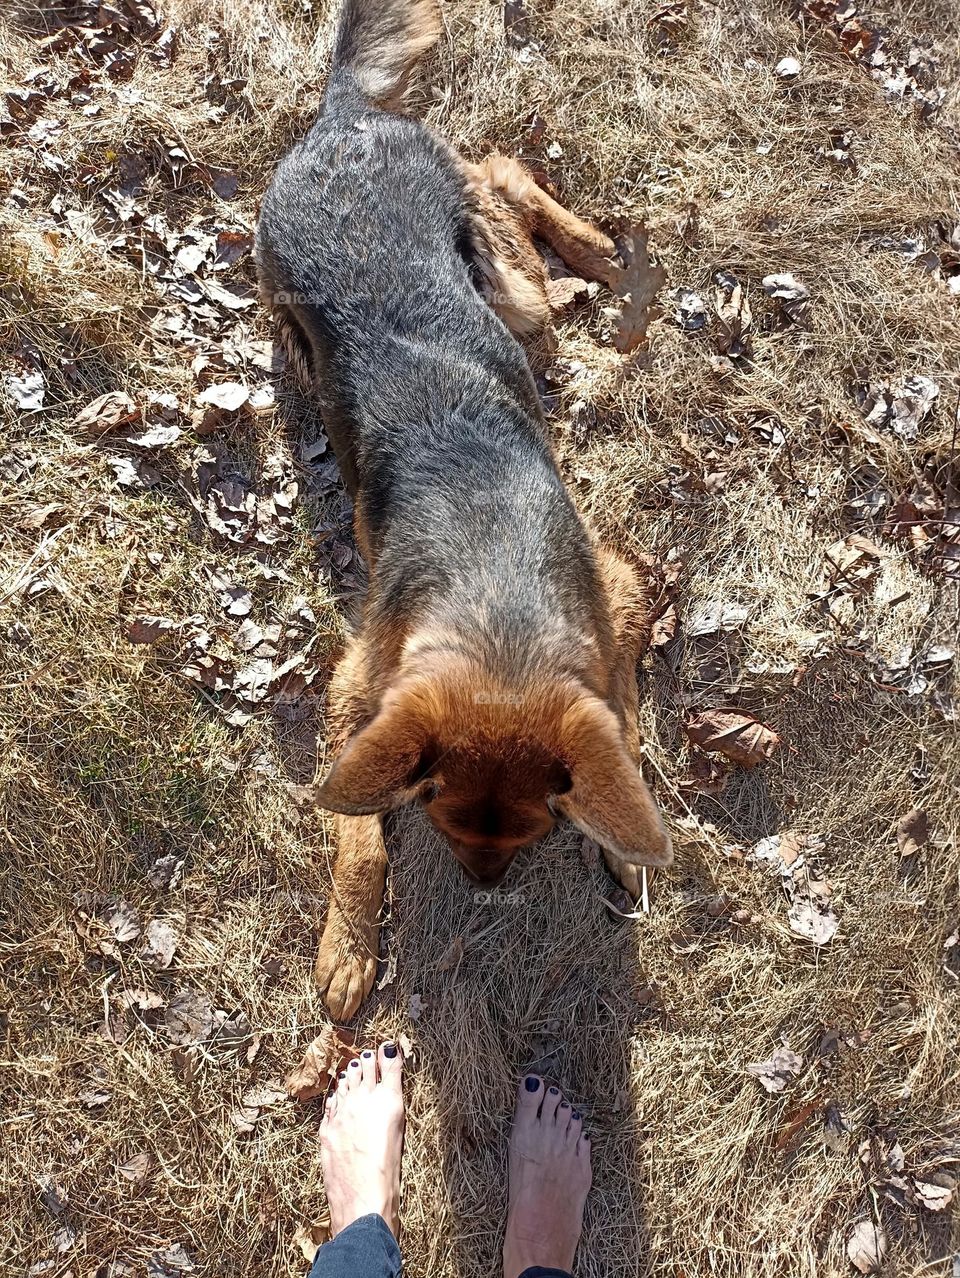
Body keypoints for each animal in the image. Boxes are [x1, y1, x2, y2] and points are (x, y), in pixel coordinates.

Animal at [256, 0, 674, 1017]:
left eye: (533, 832)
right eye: (441, 821)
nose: (485, 892)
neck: (498, 603)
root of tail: (342, 117)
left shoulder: (616, 599)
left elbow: (622, 722)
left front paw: (623, 834)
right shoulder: (358, 689)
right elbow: (357, 831)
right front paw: (349, 943)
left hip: (512, 290)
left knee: (504, 175)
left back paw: (596, 249)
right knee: (501, 174)